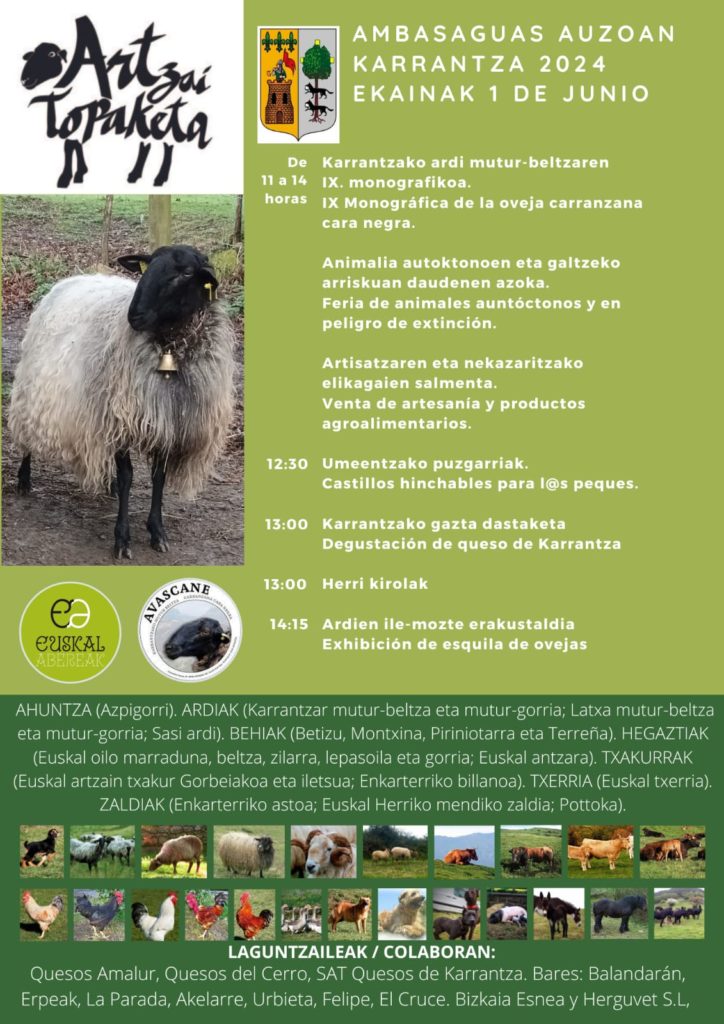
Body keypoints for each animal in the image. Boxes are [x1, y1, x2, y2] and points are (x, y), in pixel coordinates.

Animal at [8, 245, 238, 560]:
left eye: (186, 273)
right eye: (146, 266)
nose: (134, 315)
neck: (169, 352)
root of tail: (73, 277)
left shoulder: (168, 422)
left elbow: (158, 477)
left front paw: (157, 532)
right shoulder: (119, 417)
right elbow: (129, 476)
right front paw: (122, 538)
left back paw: (108, 484)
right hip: (33, 388)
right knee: (27, 434)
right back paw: (24, 479)